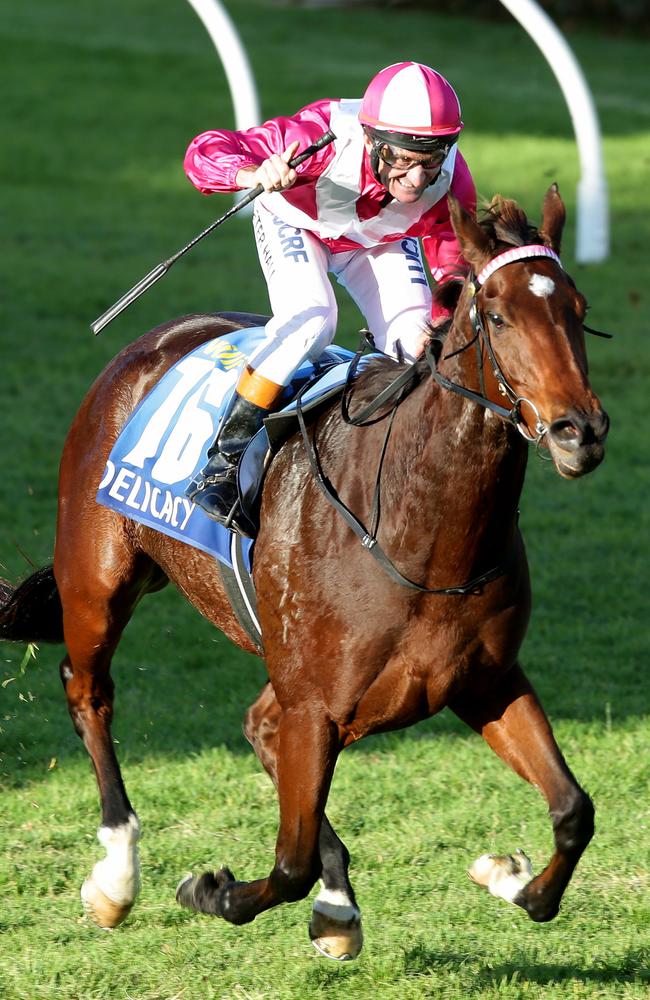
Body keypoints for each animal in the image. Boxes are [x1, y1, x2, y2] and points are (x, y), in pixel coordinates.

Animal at [0, 188, 608, 960]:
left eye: (578, 309)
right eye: (498, 315)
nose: (580, 432)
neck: (419, 529)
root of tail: (153, 341)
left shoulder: (484, 680)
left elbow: (573, 812)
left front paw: (506, 875)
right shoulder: (316, 704)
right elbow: (285, 865)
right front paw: (212, 890)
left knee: (257, 724)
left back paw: (336, 901)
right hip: (97, 578)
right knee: (88, 693)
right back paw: (116, 875)